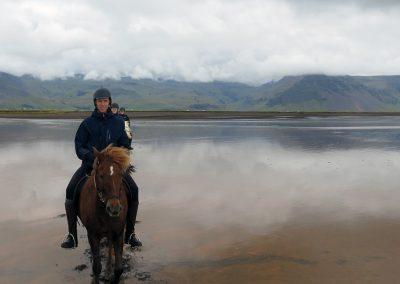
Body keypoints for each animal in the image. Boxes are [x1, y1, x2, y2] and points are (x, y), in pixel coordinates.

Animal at [79, 145, 131, 282]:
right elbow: (97, 267)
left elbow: (119, 269)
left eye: (120, 175)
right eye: (101, 175)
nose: (114, 208)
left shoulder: (118, 233)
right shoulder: (92, 235)